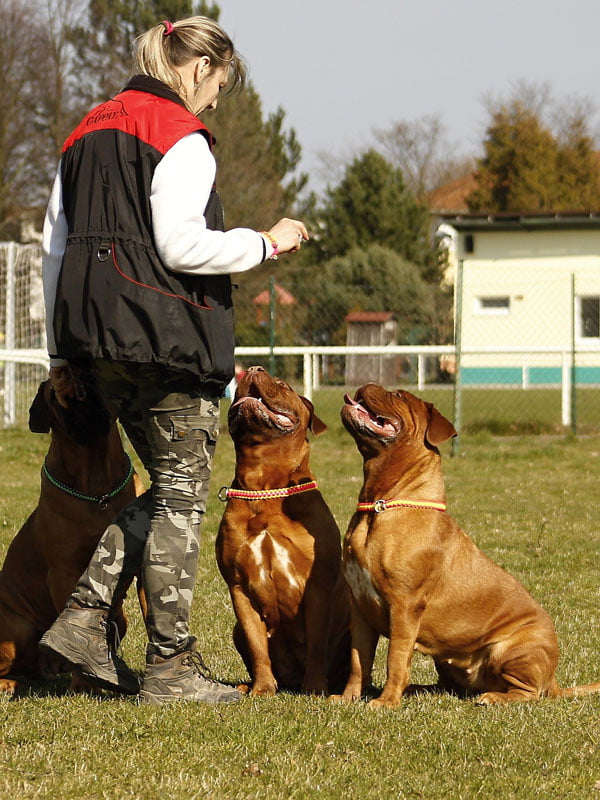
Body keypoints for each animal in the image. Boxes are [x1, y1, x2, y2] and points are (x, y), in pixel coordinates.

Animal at [0, 376, 144, 692]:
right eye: (55, 395)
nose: (82, 398)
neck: (97, 487)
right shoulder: (64, 571)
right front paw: (84, 683)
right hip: (18, 627)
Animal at [217, 364, 352, 692]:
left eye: (283, 385)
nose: (254, 368)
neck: (265, 486)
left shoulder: (317, 588)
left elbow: (316, 644)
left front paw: (315, 688)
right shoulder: (238, 588)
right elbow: (257, 646)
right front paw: (263, 688)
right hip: (235, 628)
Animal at [336, 384, 600, 704]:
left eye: (398, 395)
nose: (367, 384)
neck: (378, 505)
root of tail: (553, 679)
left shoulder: (404, 605)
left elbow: (395, 659)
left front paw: (386, 702)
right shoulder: (360, 607)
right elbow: (358, 660)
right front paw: (348, 698)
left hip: (511, 648)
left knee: (528, 692)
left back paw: (493, 697)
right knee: (450, 686)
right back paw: (418, 690)